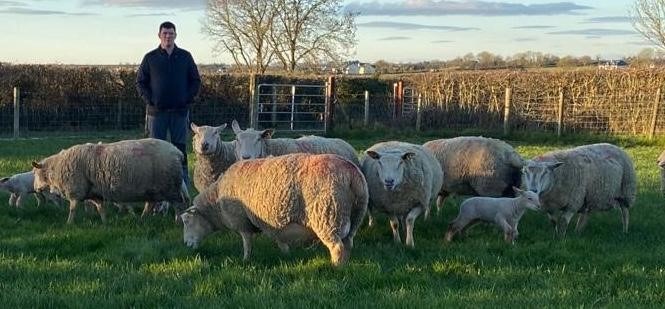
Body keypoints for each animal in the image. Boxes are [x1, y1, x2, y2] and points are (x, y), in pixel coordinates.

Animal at [32, 138, 191, 223]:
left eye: (36, 173)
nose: (36, 189)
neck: (56, 167)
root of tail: (177, 152)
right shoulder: (95, 193)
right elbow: (100, 208)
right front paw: (105, 222)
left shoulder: (75, 191)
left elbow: (73, 209)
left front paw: (69, 223)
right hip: (154, 189)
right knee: (150, 204)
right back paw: (142, 219)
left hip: (170, 187)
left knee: (179, 205)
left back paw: (178, 221)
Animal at [180, 153, 368, 266]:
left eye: (187, 221)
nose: (186, 245)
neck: (216, 203)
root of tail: (351, 173)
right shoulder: (271, 224)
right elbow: (279, 240)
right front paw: (287, 255)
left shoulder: (242, 221)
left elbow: (247, 243)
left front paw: (245, 260)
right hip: (354, 216)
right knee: (348, 244)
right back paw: (344, 266)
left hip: (327, 215)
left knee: (337, 247)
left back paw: (335, 268)